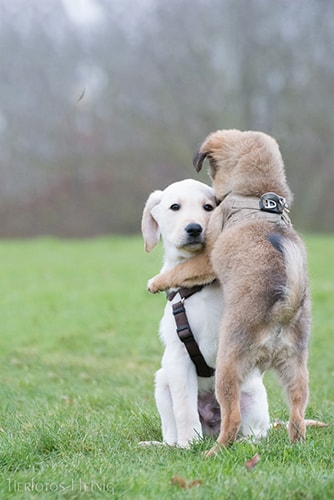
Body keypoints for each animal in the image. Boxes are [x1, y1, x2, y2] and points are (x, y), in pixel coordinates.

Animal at [142, 179, 270, 446]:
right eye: (175, 207)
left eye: (208, 207)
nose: (194, 228)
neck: (198, 287)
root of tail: (213, 426)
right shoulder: (178, 359)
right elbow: (184, 409)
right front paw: (188, 444)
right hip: (162, 384)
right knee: (171, 430)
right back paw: (167, 445)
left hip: (254, 395)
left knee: (256, 432)